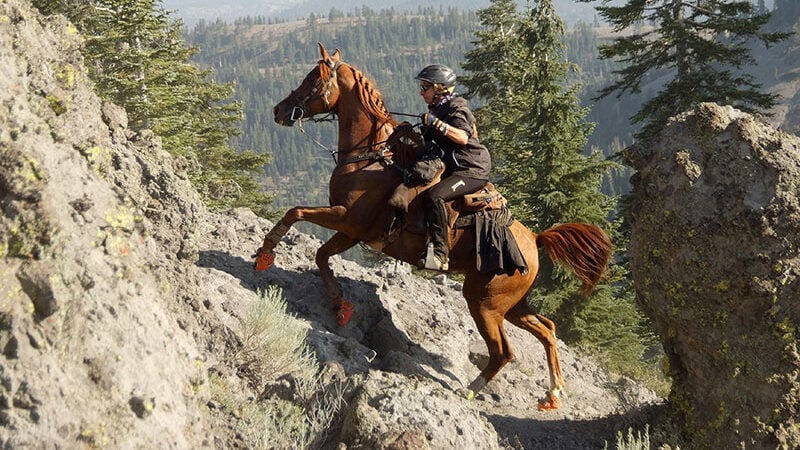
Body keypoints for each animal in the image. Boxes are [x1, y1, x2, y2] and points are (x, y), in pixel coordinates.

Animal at [256, 42, 612, 410]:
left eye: (313, 78)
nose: (279, 110)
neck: (370, 160)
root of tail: (535, 239)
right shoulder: (352, 232)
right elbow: (322, 256)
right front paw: (340, 305)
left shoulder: (347, 219)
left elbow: (295, 213)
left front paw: (265, 254)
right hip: (510, 304)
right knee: (547, 328)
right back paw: (552, 393)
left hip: (484, 303)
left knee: (504, 352)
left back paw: (469, 390)